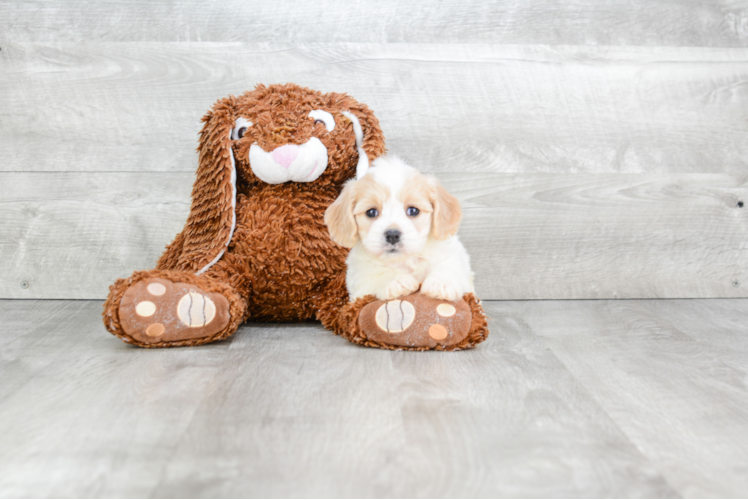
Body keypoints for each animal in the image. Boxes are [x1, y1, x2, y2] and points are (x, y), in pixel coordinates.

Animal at [322, 156, 474, 302]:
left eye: (413, 210)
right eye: (371, 212)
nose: (392, 235)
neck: (403, 261)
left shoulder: (454, 256)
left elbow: (448, 266)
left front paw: (441, 284)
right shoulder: (360, 281)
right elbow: (376, 274)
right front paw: (396, 281)